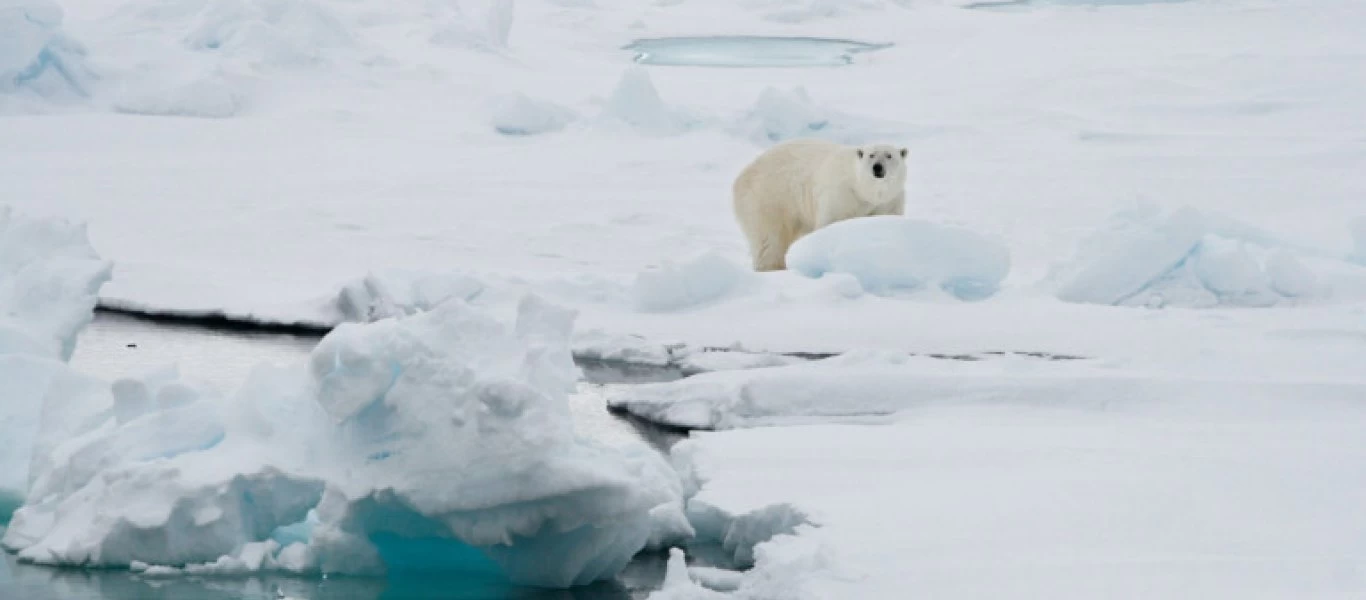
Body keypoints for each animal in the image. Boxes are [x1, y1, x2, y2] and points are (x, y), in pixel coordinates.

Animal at [726, 140, 907, 271]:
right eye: (871, 155)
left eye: (889, 155)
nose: (878, 167)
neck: (862, 190)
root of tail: (741, 177)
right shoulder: (840, 194)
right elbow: (831, 222)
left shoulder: (890, 200)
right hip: (768, 198)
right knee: (769, 239)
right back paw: (772, 267)